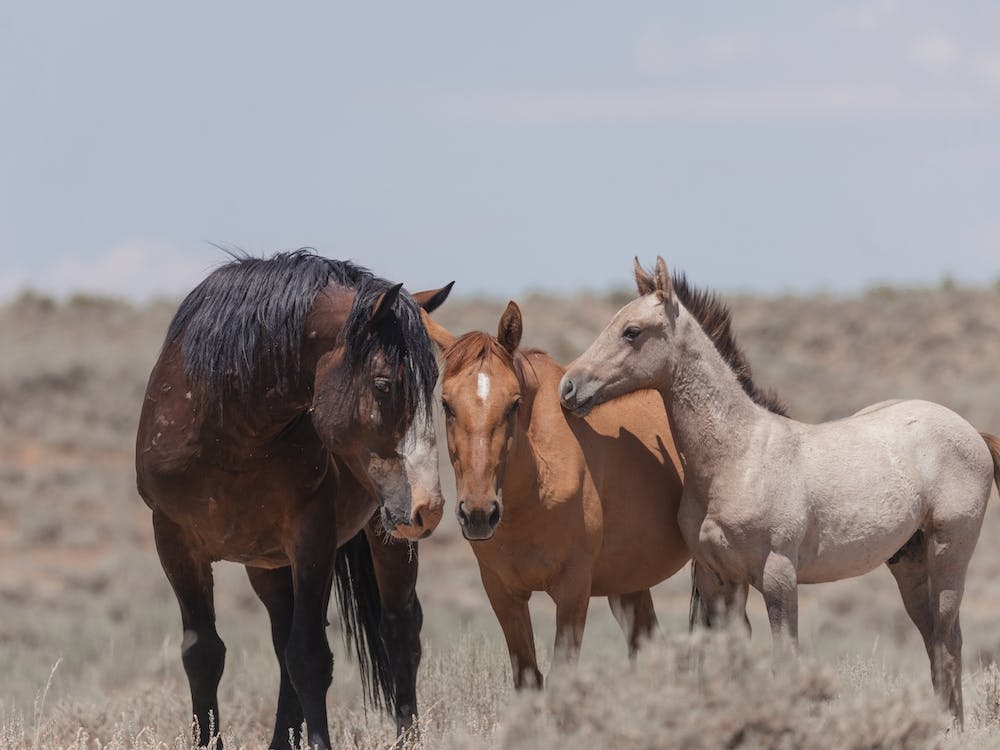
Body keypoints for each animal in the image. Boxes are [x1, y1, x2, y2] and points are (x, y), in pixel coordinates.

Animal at [135, 250, 452, 750]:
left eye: (432, 383)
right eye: (383, 384)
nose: (429, 508)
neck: (228, 431)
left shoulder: (312, 538)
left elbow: (309, 657)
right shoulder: (173, 540)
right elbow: (203, 653)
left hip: (384, 538)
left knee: (399, 630)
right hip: (268, 565)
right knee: (283, 636)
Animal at [421, 287, 785, 688]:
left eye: (514, 403)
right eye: (446, 404)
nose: (479, 513)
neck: (536, 489)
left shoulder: (573, 592)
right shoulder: (503, 593)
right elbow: (529, 677)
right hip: (630, 583)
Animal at [559, 257, 1000, 726]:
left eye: (632, 331)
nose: (568, 387)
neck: (737, 457)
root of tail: (971, 430)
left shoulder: (777, 575)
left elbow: (784, 659)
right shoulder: (718, 578)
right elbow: (729, 658)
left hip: (949, 551)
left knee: (949, 637)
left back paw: (951, 727)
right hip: (909, 561)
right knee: (934, 636)